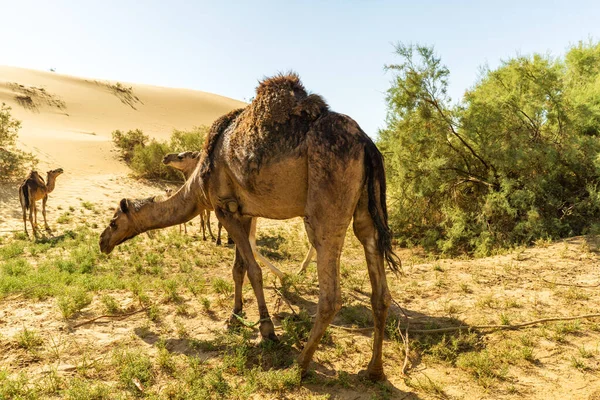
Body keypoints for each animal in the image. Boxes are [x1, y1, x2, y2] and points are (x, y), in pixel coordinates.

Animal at [99, 72, 398, 382]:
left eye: (113, 221)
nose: (102, 242)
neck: (198, 184)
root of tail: (366, 142)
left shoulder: (223, 208)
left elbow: (253, 270)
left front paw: (266, 329)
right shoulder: (243, 212)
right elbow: (238, 268)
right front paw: (234, 316)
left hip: (326, 198)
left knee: (329, 293)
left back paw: (299, 365)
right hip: (365, 209)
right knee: (378, 282)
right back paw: (374, 370)